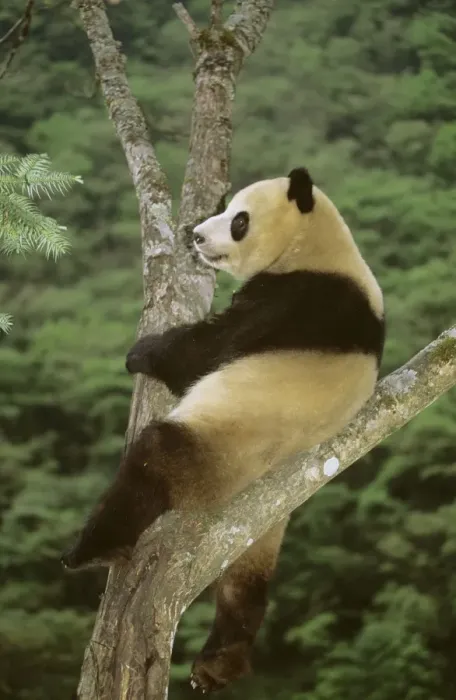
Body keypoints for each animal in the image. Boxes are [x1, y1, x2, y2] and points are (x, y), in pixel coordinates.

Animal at [62, 167, 384, 693]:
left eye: (238, 220)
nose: (195, 236)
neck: (316, 245)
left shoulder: (294, 298)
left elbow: (205, 350)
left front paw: (142, 351)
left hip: (218, 451)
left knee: (153, 459)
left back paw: (93, 548)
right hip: (260, 521)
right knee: (245, 583)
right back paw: (219, 665)